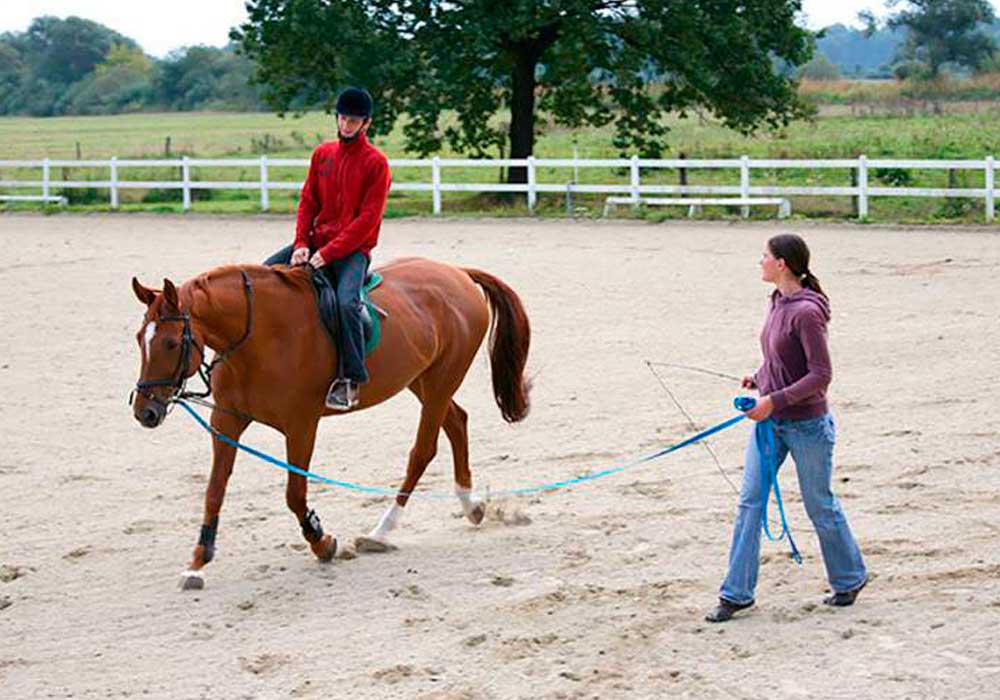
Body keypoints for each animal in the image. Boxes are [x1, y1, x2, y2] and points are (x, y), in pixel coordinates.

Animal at [131, 256, 532, 584]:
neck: (259, 338)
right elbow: (214, 490)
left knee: (423, 451)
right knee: (457, 422)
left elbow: (294, 494)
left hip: (440, 381)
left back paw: (381, 532)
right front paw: (197, 562)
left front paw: (322, 542)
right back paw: (471, 506)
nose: (144, 411)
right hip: (422, 380)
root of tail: (457, 273)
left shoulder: (301, 425)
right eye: (139, 339)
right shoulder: (226, 422)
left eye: (170, 343)